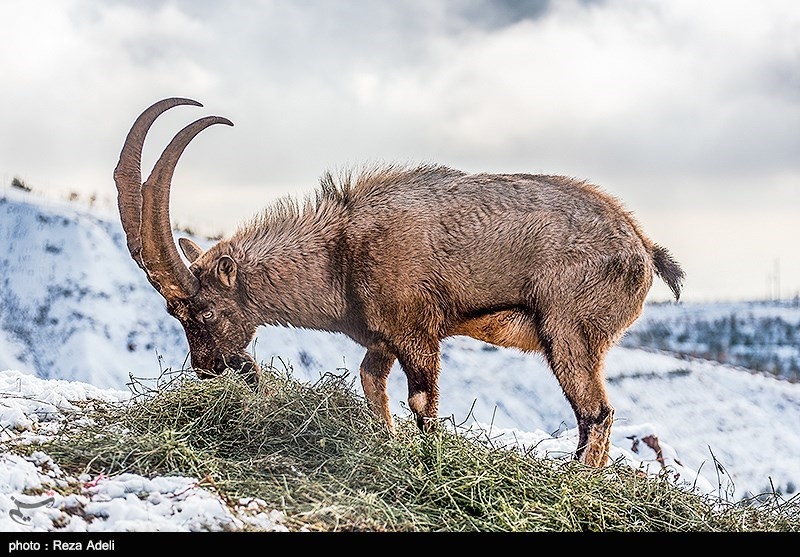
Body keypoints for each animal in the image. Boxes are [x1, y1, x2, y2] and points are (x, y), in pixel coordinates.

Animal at [115, 95, 684, 464]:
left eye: (205, 311)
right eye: (175, 314)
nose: (209, 370)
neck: (341, 254)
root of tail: (644, 248)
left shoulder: (417, 333)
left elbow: (422, 403)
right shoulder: (382, 340)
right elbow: (372, 383)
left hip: (569, 333)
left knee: (597, 413)